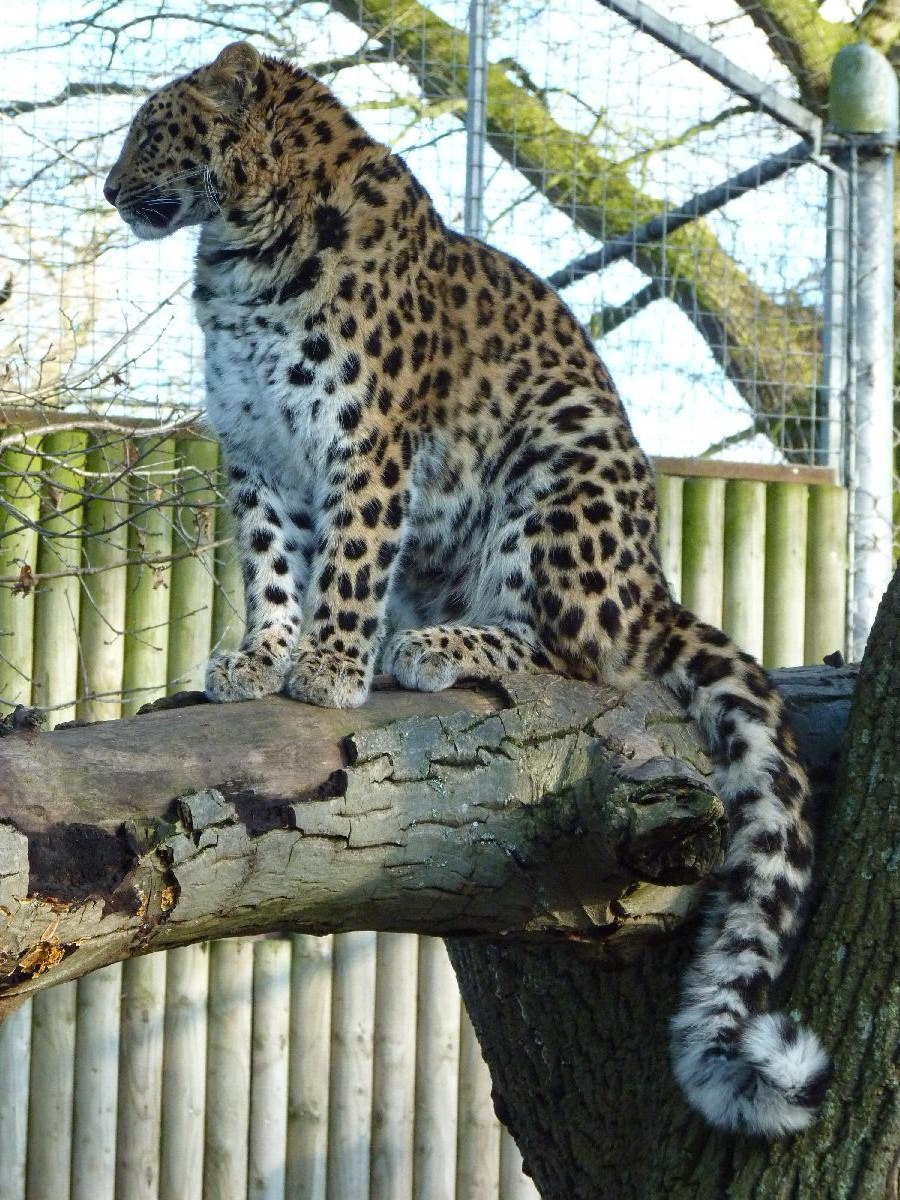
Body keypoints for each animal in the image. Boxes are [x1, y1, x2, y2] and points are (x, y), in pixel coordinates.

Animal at [105, 41, 830, 1136]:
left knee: (575, 652)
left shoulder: (368, 437)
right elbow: (272, 565)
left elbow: (351, 560)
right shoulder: (257, 452)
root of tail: (654, 585)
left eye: (153, 130)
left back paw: (437, 646)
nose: (108, 191)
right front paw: (260, 656)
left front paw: (328, 667)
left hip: (562, 458)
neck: (238, 253)